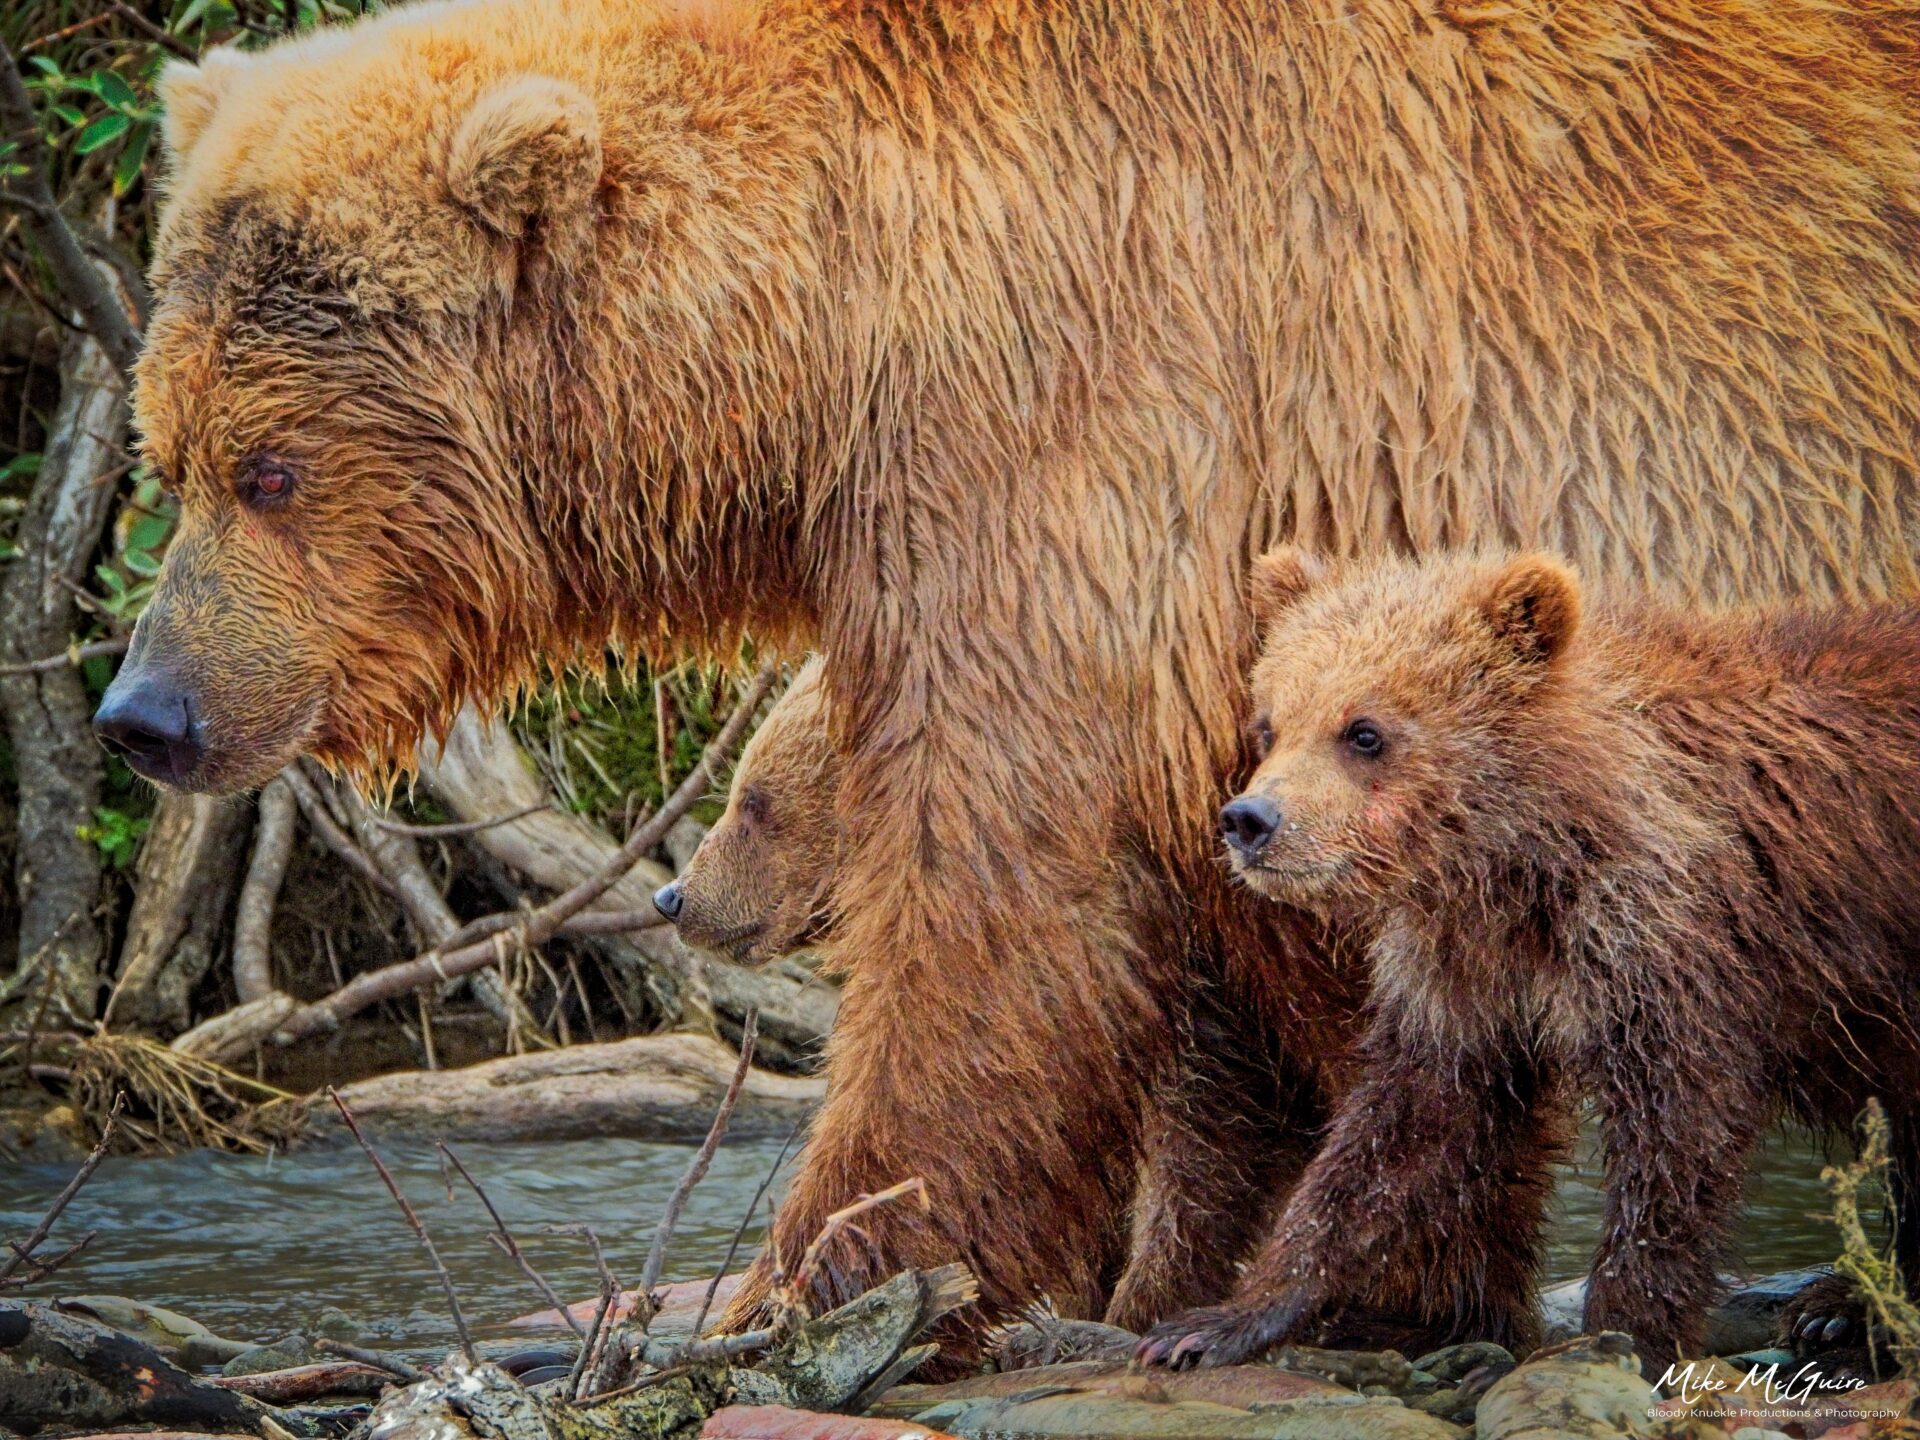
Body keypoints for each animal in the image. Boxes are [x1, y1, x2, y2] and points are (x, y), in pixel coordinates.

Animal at [1138, 546, 1920, 1372]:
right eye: (1268, 725)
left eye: (1364, 731)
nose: (1249, 820)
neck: (1527, 856)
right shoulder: (1467, 970)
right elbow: (1403, 1130)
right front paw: (1214, 1321)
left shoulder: (1671, 940)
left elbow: (1674, 1142)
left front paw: (1625, 1332)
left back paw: (1841, 1307)